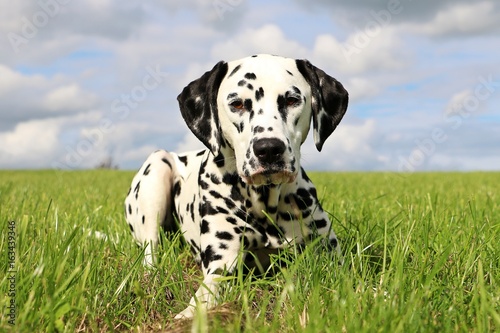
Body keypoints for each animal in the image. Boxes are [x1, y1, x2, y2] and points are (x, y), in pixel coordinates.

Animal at [125, 53, 348, 318]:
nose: (268, 149)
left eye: (292, 100)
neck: (265, 205)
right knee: (150, 251)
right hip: (156, 169)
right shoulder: (221, 265)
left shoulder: (329, 255)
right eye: (238, 104)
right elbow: (203, 298)